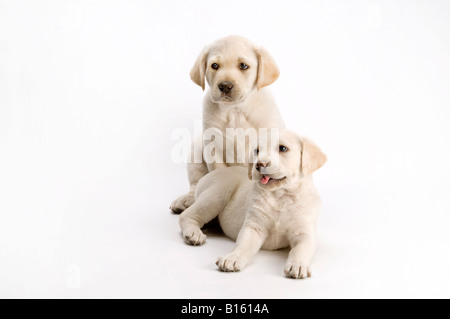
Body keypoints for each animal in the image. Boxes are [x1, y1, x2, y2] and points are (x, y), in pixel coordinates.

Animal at [171, 34, 284, 215]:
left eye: (243, 66)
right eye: (214, 66)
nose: (225, 86)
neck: (235, 110)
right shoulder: (213, 147)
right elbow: (219, 174)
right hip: (196, 152)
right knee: (196, 184)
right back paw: (186, 199)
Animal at [179, 130, 326, 280]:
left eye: (283, 148)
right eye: (257, 151)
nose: (260, 164)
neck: (279, 196)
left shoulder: (304, 232)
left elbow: (301, 250)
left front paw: (298, 265)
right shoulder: (254, 226)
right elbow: (243, 245)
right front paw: (232, 258)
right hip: (217, 193)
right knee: (187, 215)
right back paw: (193, 233)